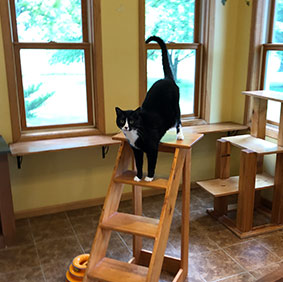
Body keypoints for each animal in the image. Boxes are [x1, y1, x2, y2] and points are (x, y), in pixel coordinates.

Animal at [115, 35, 184, 182]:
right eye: (122, 120)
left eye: (132, 121)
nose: (126, 127)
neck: (134, 133)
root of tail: (167, 79)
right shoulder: (136, 149)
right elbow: (139, 163)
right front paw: (138, 177)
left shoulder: (152, 148)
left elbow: (152, 162)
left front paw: (149, 177)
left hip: (176, 107)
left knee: (179, 120)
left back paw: (180, 135)